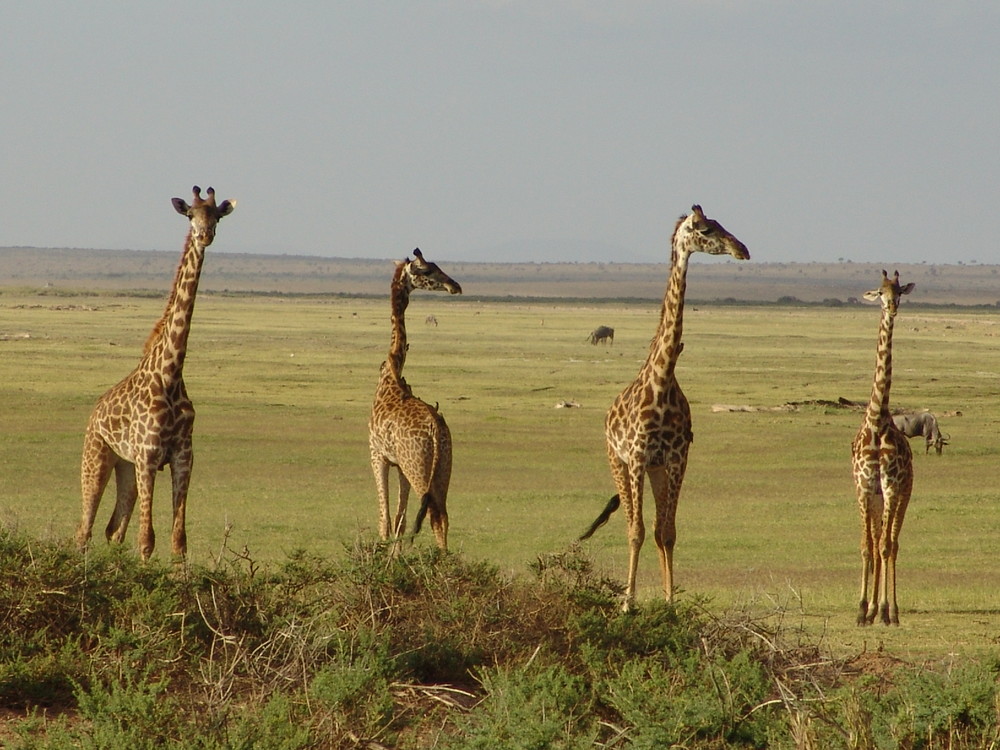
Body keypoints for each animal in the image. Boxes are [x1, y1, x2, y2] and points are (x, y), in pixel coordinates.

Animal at [76, 189, 236, 564]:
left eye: (216, 217)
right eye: (190, 215)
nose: (204, 235)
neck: (171, 373)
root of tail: (94, 412)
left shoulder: (183, 457)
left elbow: (178, 541)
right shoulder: (148, 456)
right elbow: (146, 540)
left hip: (126, 466)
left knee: (113, 530)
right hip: (97, 457)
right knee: (84, 530)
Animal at [368, 250, 460, 548]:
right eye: (427, 270)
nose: (455, 285)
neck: (392, 372)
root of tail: (435, 432)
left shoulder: (377, 455)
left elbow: (386, 520)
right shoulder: (398, 464)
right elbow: (400, 520)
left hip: (418, 466)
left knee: (433, 516)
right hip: (443, 466)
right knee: (442, 516)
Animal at [580, 206, 752, 612]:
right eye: (705, 229)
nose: (742, 249)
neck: (662, 381)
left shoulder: (675, 460)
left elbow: (668, 532)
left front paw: (670, 603)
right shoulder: (637, 457)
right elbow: (637, 531)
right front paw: (628, 603)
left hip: (656, 471)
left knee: (659, 529)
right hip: (618, 462)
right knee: (632, 524)